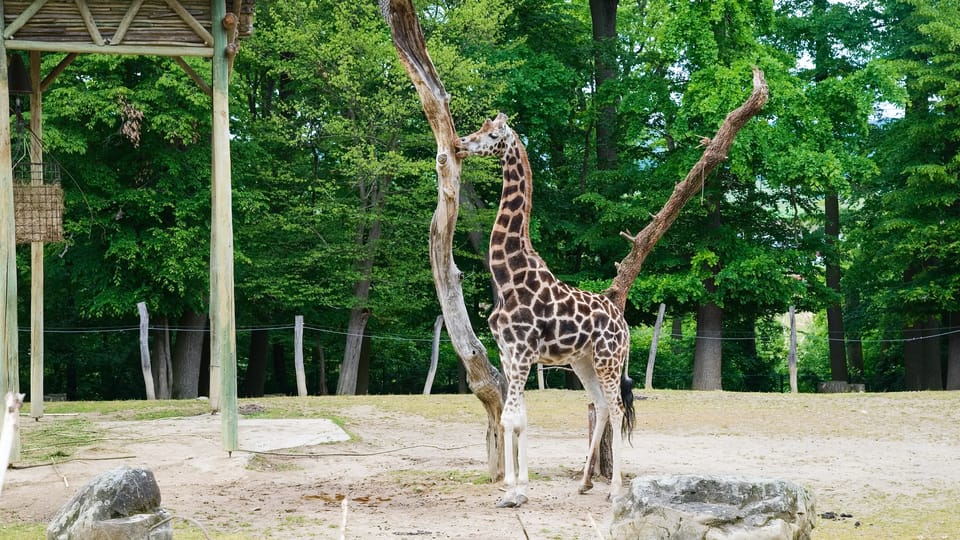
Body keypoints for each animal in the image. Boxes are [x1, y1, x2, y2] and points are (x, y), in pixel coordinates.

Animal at [456, 113, 635, 508]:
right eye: (479, 129)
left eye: (492, 134)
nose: (459, 144)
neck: (508, 276)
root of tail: (625, 324)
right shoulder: (508, 353)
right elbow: (519, 417)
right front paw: (519, 488)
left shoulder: (522, 352)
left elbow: (509, 418)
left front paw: (511, 491)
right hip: (583, 361)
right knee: (600, 406)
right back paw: (584, 482)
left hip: (609, 359)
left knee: (616, 407)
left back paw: (615, 490)